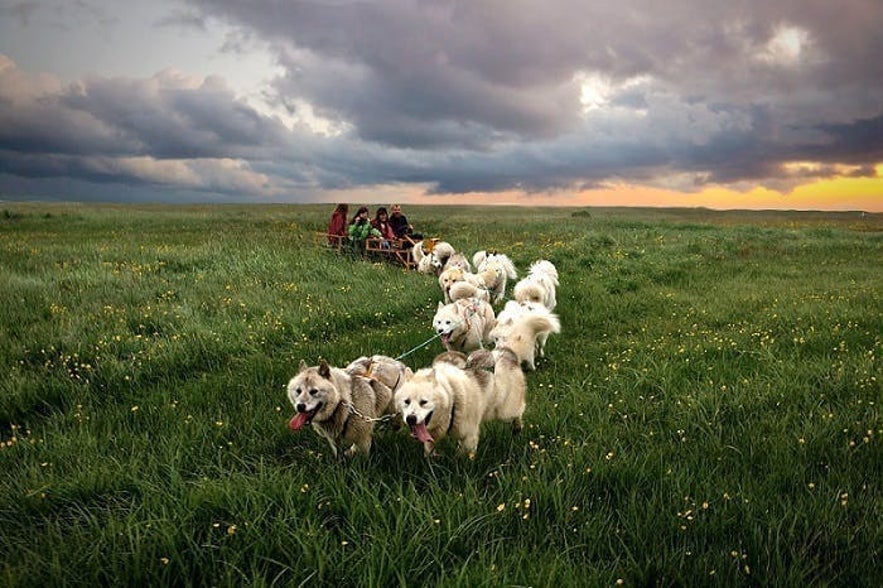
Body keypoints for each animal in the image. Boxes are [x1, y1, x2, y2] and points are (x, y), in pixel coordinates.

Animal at [398, 346, 528, 458]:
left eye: (423, 402)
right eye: (406, 401)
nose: (410, 419)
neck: (452, 397)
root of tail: (503, 352)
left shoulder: (469, 436)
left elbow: (462, 459)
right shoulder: (432, 437)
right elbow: (428, 450)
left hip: (505, 412)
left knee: (519, 412)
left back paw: (517, 428)